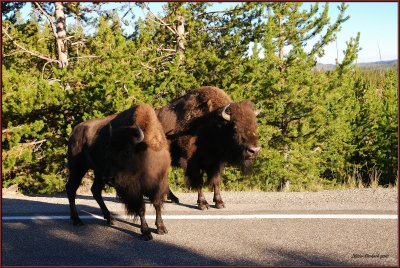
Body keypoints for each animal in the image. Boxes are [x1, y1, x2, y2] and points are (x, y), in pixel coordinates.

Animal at [66, 103, 170, 241]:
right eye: (108, 151)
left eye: (127, 151)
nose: (109, 179)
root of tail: (74, 131)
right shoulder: (133, 189)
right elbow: (141, 208)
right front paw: (146, 232)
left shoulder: (159, 182)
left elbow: (157, 204)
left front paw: (161, 228)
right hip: (78, 168)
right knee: (71, 189)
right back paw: (77, 220)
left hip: (97, 172)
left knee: (95, 191)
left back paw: (110, 218)